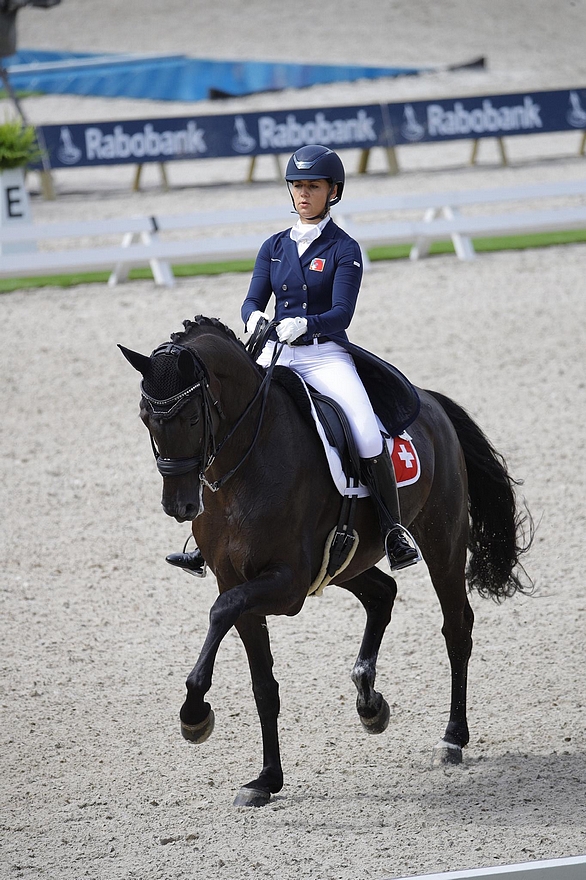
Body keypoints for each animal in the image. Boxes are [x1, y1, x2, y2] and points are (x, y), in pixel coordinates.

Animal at [118, 314, 528, 804]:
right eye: (145, 418)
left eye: (195, 416)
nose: (178, 505)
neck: (244, 466)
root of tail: (431, 403)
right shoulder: (238, 581)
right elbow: (262, 684)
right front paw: (265, 779)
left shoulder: (286, 585)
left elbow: (220, 612)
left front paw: (194, 713)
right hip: (344, 561)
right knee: (383, 593)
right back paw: (370, 703)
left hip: (442, 543)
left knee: (456, 629)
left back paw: (452, 737)